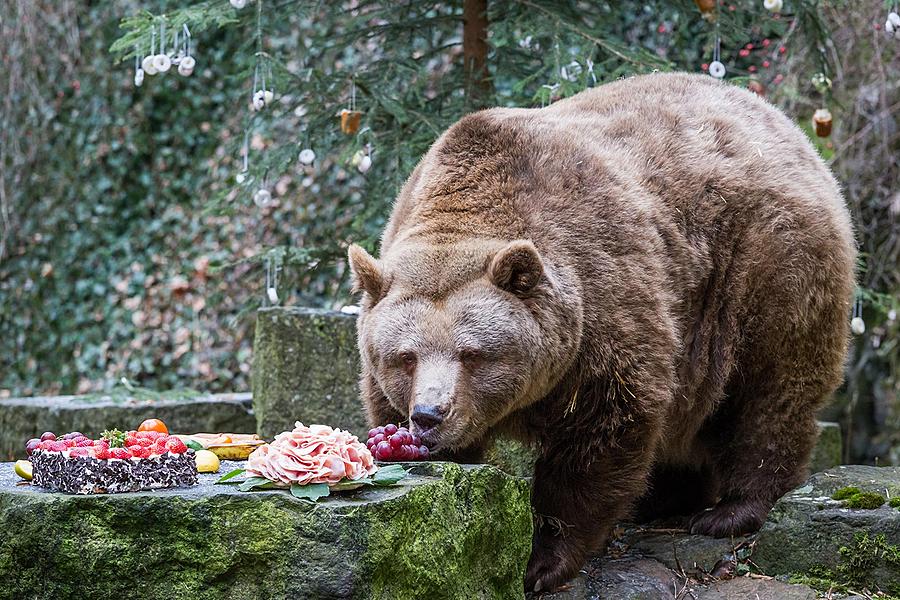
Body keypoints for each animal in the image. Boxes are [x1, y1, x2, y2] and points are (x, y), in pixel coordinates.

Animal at [348, 72, 856, 592]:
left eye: (473, 353)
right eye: (405, 356)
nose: (429, 415)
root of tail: (787, 127)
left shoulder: (603, 302)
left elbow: (603, 433)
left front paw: (540, 560)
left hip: (764, 270)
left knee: (770, 392)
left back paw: (731, 510)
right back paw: (664, 500)